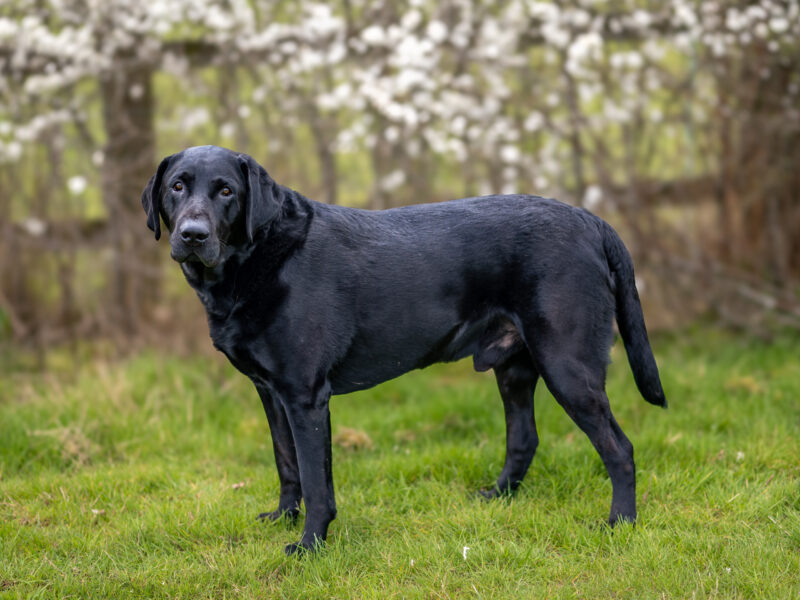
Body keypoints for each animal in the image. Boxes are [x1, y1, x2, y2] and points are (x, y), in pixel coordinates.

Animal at [141, 146, 664, 556]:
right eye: (177, 186)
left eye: (227, 191)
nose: (192, 234)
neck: (255, 260)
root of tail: (592, 221)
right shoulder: (270, 392)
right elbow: (286, 464)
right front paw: (283, 518)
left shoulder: (305, 396)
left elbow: (315, 481)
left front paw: (309, 546)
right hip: (516, 368)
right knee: (524, 439)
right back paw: (496, 498)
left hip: (568, 366)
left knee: (619, 449)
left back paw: (620, 523)